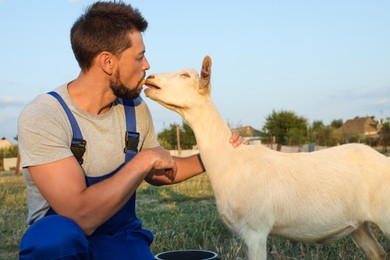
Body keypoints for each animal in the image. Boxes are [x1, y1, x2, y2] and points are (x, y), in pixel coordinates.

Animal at [144, 55, 390, 258]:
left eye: (185, 75)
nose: (150, 79)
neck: (231, 161)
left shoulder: (255, 230)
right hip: (359, 224)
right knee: (378, 253)